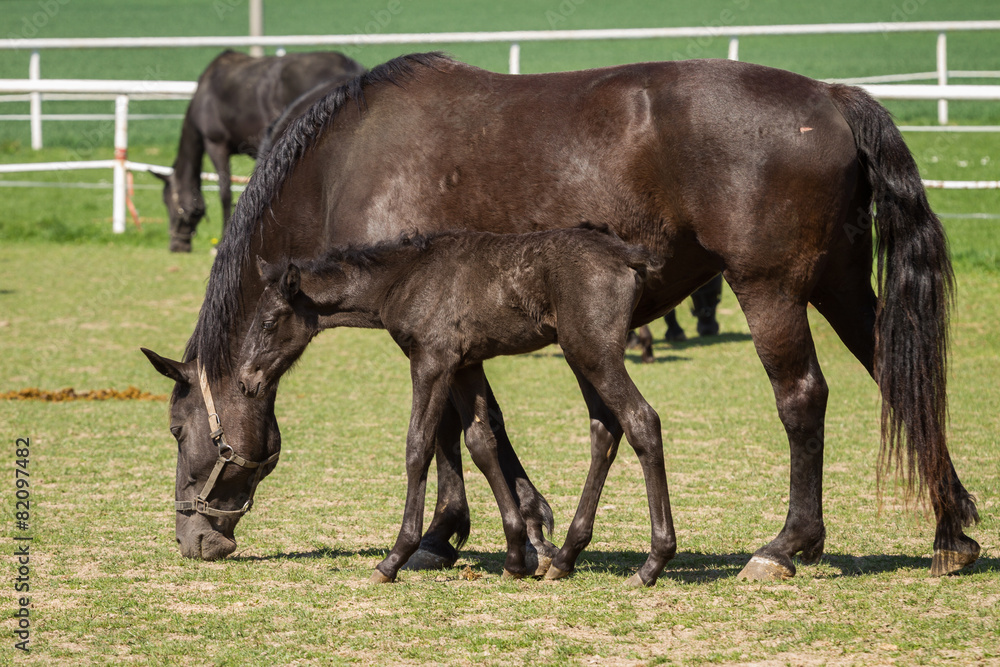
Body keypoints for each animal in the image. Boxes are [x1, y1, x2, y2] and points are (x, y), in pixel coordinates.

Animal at [235, 226, 671, 584]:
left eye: (269, 322)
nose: (244, 380)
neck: (404, 277)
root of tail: (626, 255)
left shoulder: (431, 361)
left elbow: (418, 447)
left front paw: (394, 558)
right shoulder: (466, 365)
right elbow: (481, 442)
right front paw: (516, 555)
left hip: (593, 352)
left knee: (641, 420)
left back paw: (651, 564)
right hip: (580, 355)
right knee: (605, 430)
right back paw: (564, 558)